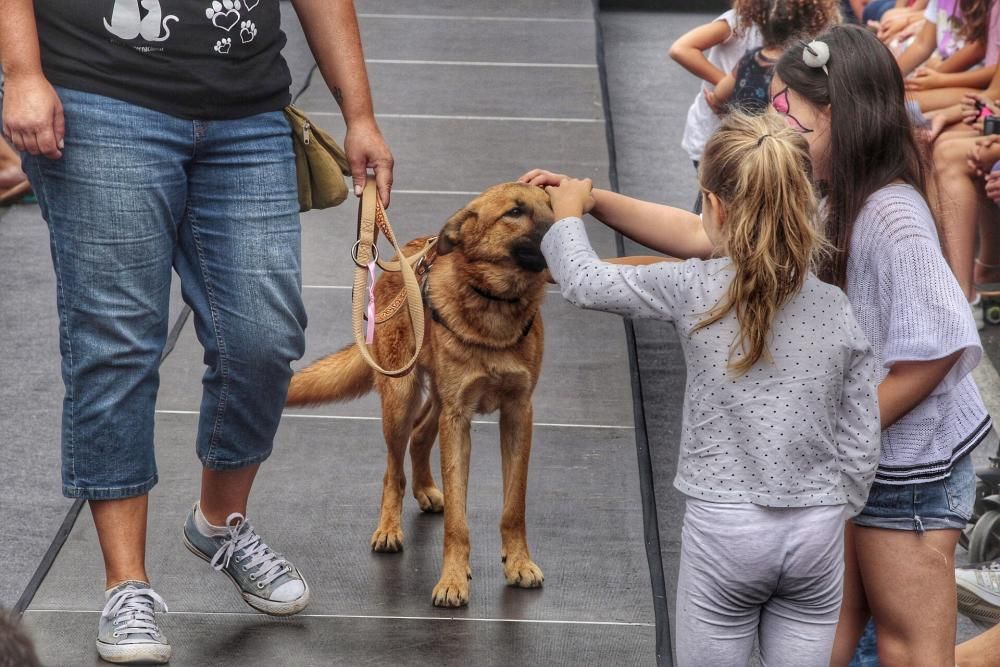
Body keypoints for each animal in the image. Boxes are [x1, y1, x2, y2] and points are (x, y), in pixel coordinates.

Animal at [286, 181, 556, 604]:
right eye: (515, 212)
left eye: (550, 204)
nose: (568, 223)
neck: (493, 303)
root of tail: (403, 258)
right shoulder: (458, 418)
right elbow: (458, 520)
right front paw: (453, 579)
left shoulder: (517, 414)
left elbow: (514, 506)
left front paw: (518, 563)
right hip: (401, 399)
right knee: (392, 470)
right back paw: (389, 528)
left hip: (436, 403)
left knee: (420, 436)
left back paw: (427, 489)